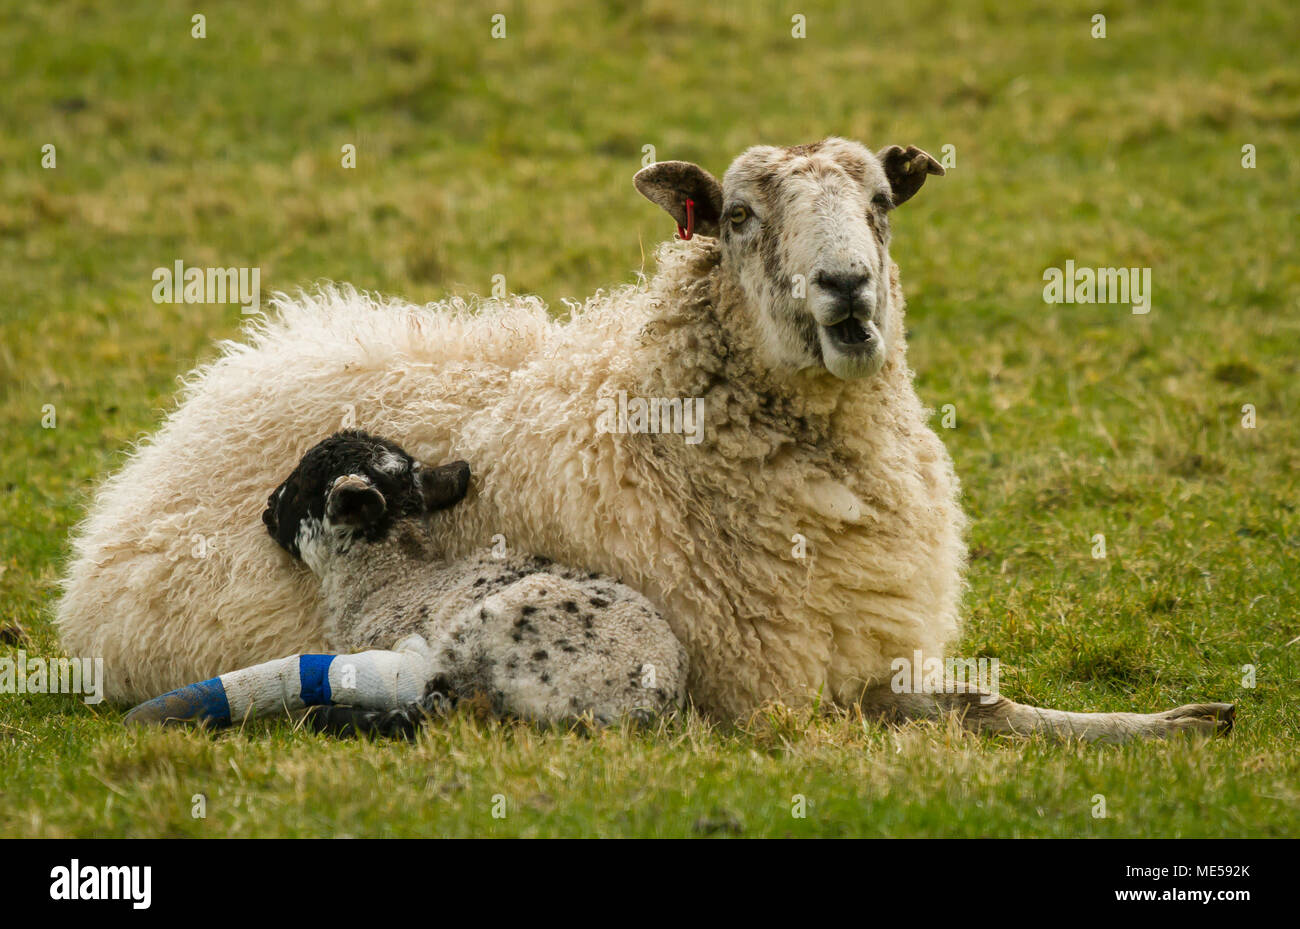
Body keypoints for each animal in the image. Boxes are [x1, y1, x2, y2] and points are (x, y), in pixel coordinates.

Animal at [124, 431, 691, 732]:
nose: (265, 508)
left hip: (492, 634)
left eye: (302, 485)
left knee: (441, 708)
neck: (394, 580)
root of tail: (643, 701)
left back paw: (336, 716)